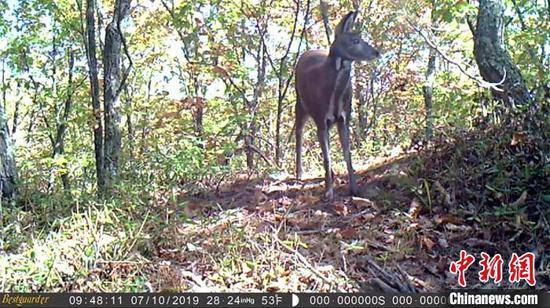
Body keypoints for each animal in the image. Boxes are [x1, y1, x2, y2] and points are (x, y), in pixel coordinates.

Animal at [296, 11, 382, 200]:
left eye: (361, 37)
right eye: (355, 40)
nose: (377, 52)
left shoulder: (344, 118)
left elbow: (347, 154)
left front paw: (354, 188)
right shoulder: (321, 117)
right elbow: (327, 157)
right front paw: (328, 192)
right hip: (300, 104)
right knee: (299, 133)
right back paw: (299, 174)